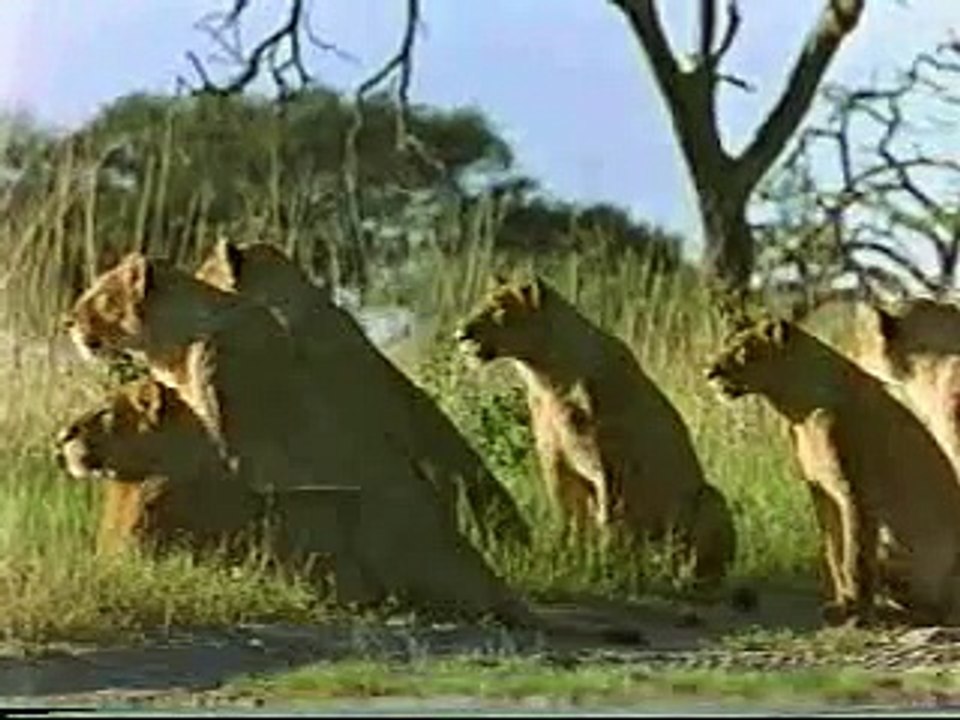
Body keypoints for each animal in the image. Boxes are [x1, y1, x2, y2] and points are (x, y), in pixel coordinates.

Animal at [454, 275, 737, 586]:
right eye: (481, 303)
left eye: (498, 309)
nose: (460, 334)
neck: (547, 378)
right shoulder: (555, 460)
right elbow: (567, 516)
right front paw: (566, 558)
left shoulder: (612, 462)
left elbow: (610, 519)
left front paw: (605, 566)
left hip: (711, 498)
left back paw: (680, 575)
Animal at [706, 317, 960, 625]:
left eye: (742, 350)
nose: (708, 373)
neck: (797, 410)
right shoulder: (820, 490)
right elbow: (834, 551)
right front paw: (843, 603)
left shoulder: (856, 492)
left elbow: (855, 555)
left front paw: (857, 612)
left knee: (942, 608)